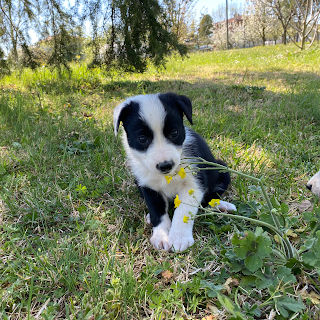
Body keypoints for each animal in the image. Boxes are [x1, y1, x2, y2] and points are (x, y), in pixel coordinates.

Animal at [114, 92, 236, 252]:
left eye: (174, 133)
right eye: (142, 139)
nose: (165, 165)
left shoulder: (193, 184)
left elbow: (183, 211)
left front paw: (179, 238)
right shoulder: (147, 186)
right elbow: (157, 210)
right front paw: (162, 236)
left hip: (222, 169)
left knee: (209, 199)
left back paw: (222, 206)